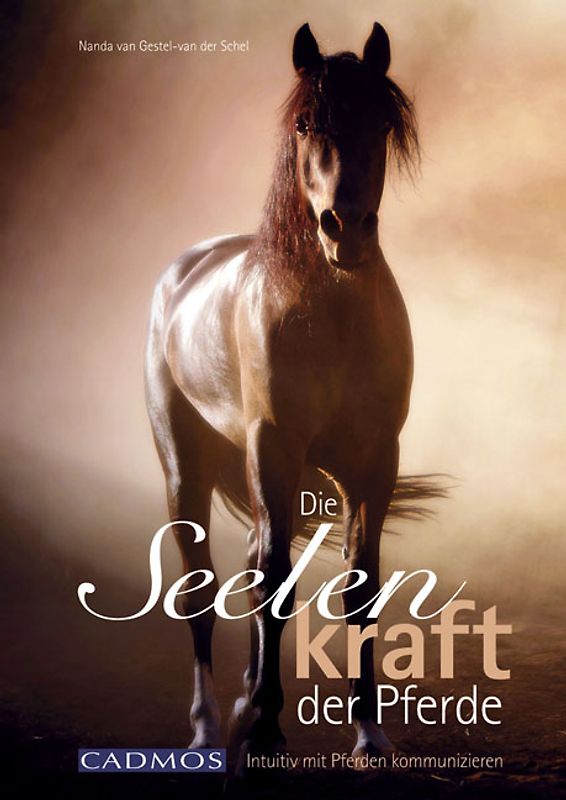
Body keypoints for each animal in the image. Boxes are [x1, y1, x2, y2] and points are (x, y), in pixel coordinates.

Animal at [145, 21, 425, 766]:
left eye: (382, 122)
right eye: (305, 123)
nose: (345, 227)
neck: (330, 314)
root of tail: (183, 271)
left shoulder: (373, 462)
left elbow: (361, 586)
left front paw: (370, 735)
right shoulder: (273, 447)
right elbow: (274, 581)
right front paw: (267, 729)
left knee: (249, 562)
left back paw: (244, 700)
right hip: (186, 470)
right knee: (203, 588)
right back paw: (210, 726)